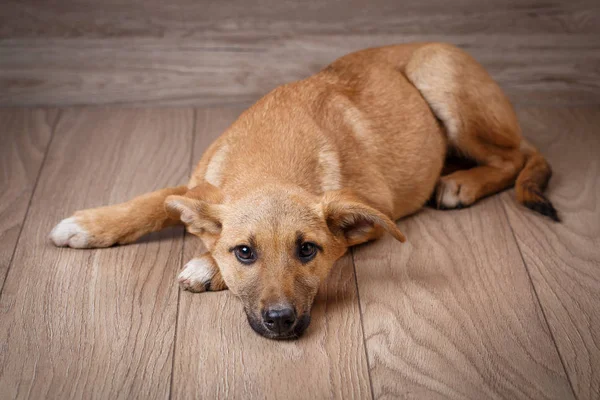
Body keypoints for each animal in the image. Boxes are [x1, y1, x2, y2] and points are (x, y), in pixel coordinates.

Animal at [49, 43, 560, 338]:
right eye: (245, 252)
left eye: (308, 251)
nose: (281, 323)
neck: (270, 160)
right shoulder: (200, 185)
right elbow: (157, 199)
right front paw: (91, 224)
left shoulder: (372, 214)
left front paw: (205, 266)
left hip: (442, 80)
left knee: (511, 159)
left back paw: (461, 184)